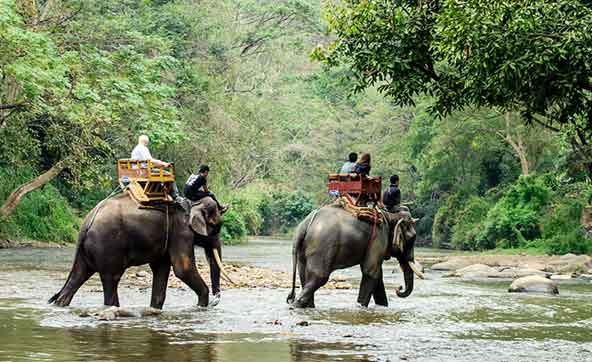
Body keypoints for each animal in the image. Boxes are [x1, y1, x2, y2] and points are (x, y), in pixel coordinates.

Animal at [48, 195, 234, 308]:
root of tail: (87, 223)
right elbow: (183, 269)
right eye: (216, 227)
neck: (194, 203)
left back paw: (61, 304)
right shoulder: (181, 233)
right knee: (111, 279)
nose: (215, 301)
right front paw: (201, 306)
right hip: (108, 246)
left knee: (78, 275)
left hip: (86, 251)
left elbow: (161, 268)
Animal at [286, 204, 420, 308]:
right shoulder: (378, 237)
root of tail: (305, 225)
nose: (399, 288)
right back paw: (296, 305)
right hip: (322, 246)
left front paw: (382, 307)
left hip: (304, 250)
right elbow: (370, 272)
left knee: (305, 276)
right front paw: (360, 307)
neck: (389, 215)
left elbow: (377, 275)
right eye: (413, 238)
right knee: (319, 277)